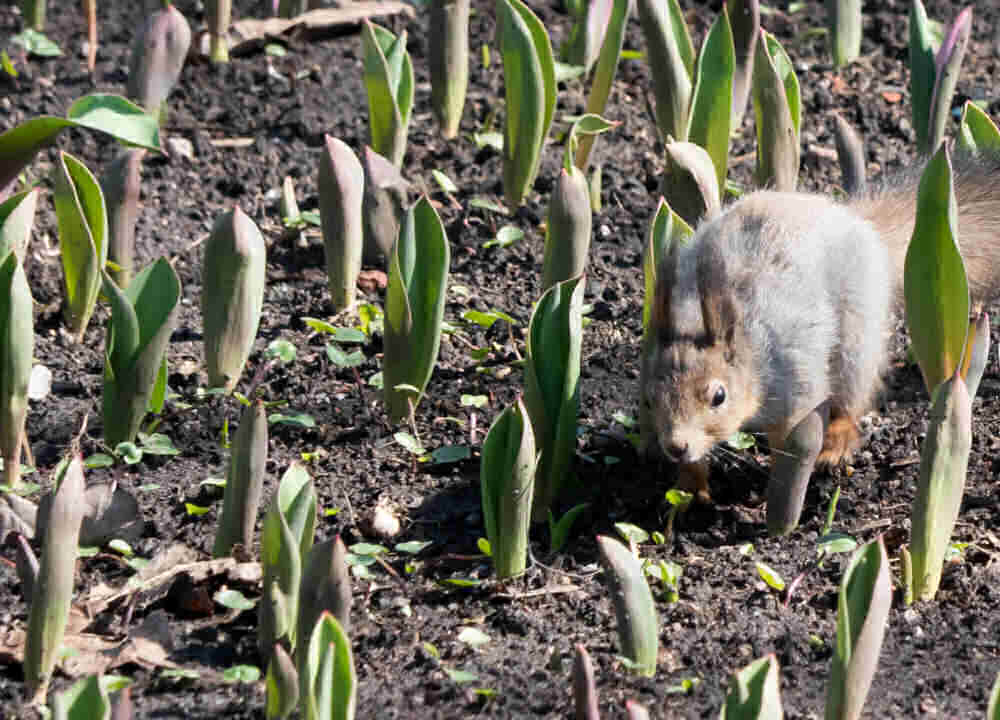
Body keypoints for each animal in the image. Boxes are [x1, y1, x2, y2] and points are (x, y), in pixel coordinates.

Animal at [639, 148, 1000, 533]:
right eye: (649, 398)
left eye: (718, 396)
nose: (675, 446)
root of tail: (855, 221)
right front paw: (690, 489)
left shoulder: (795, 387)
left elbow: (790, 442)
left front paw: (778, 500)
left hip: (856, 339)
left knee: (853, 397)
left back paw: (835, 443)